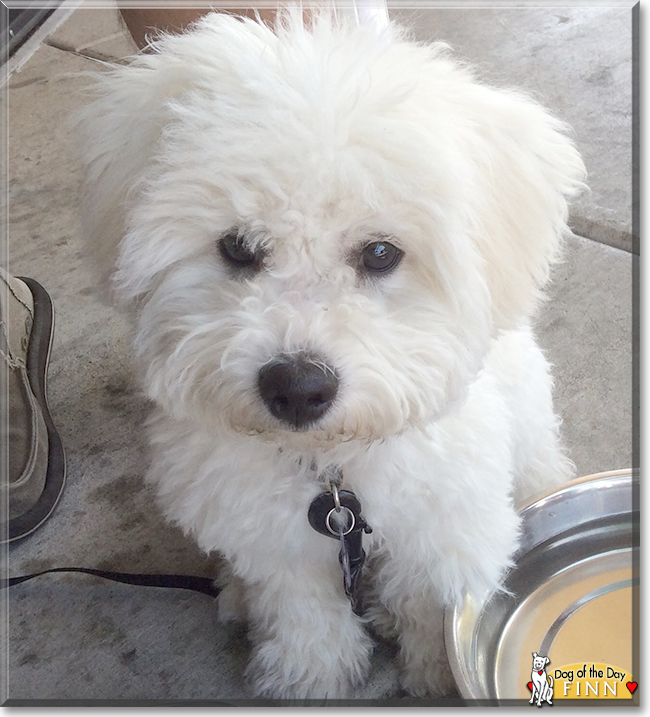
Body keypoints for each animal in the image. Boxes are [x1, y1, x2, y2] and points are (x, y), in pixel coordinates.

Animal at [78, 8, 584, 696]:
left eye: (380, 253)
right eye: (238, 246)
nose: (297, 388)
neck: (334, 476)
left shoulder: (442, 517)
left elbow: (425, 597)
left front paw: (432, 669)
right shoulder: (271, 536)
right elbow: (299, 606)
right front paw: (309, 675)